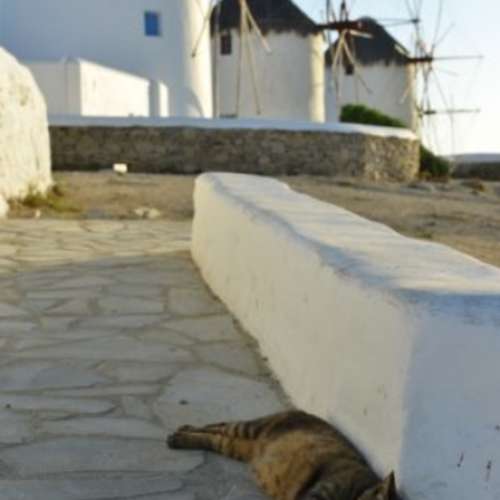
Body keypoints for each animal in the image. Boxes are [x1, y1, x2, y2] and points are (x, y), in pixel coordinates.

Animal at [167, 410, 399, 500]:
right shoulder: (322, 490)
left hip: (234, 446)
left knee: (214, 438)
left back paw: (181, 436)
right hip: (250, 428)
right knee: (217, 425)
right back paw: (180, 433)